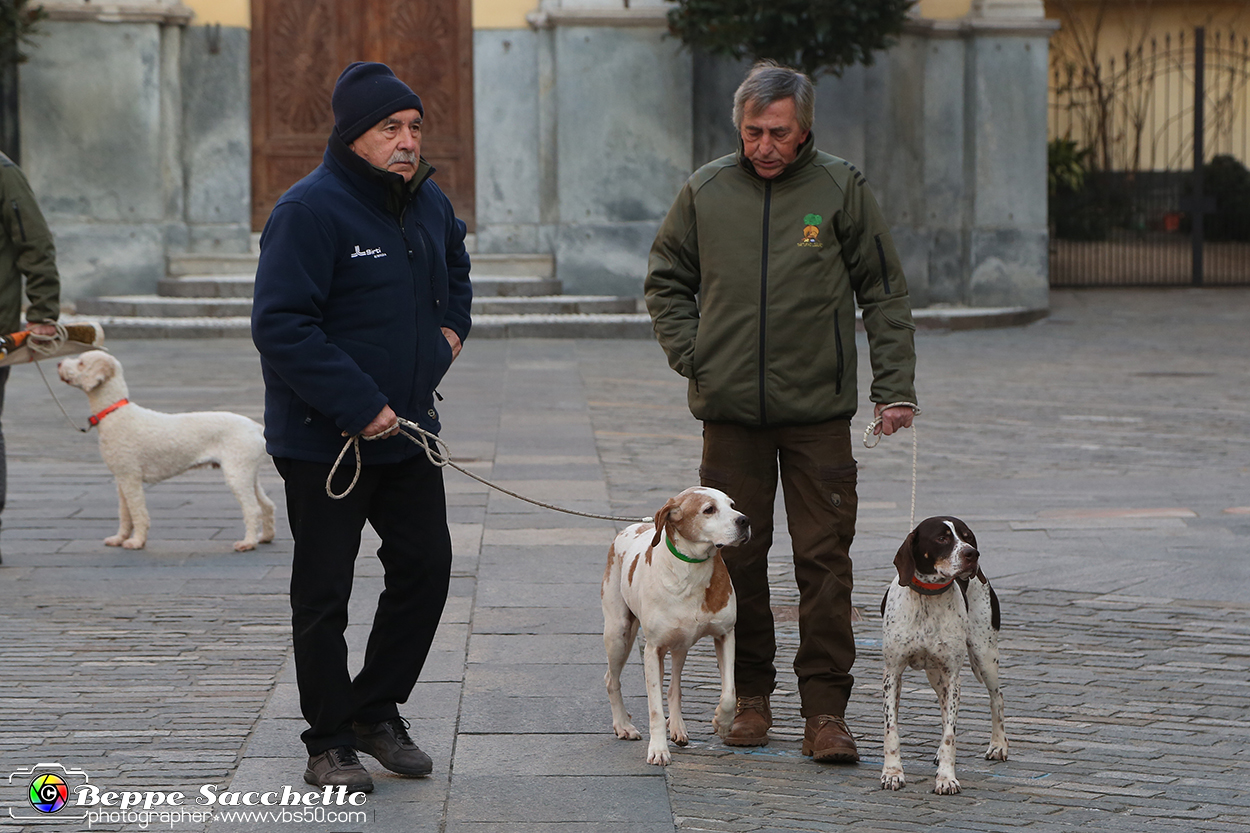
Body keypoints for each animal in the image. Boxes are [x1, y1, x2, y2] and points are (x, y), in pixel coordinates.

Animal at [56, 350, 276, 550]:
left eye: (81, 363)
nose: (58, 363)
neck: (114, 412)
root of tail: (256, 427)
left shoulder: (130, 477)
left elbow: (138, 512)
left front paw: (136, 542)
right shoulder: (121, 479)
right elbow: (124, 514)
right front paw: (119, 539)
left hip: (236, 473)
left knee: (252, 509)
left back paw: (248, 543)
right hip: (247, 473)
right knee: (266, 505)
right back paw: (265, 537)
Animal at [597, 487, 745, 765]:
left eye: (732, 505)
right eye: (709, 509)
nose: (745, 521)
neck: (692, 570)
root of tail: (631, 527)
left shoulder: (725, 634)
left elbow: (729, 691)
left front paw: (722, 722)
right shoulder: (652, 650)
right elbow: (654, 709)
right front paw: (658, 749)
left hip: (679, 646)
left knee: (674, 687)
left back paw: (677, 726)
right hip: (619, 634)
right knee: (611, 679)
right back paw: (623, 725)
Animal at [880, 512, 1005, 790]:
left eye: (968, 536)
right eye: (941, 538)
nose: (972, 553)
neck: (928, 597)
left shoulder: (952, 675)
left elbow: (950, 734)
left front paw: (947, 778)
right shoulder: (892, 674)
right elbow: (891, 730)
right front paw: (893, 773)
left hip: (984, 654)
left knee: (997, 698)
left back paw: (999, 745)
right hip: (936, 674)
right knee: (942, 704)